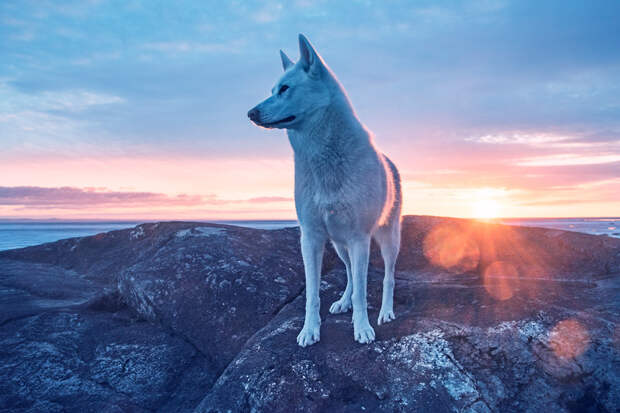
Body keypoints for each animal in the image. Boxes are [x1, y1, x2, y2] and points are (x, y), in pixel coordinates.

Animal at [247, 34, 402, 344]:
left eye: (285, 88)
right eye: (272, 90)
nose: (250, 113)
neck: (324, 159)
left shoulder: (359, 239)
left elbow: (363, 292)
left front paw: (362, 328)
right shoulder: (311, 238)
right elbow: (313, 294)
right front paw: (310, 330)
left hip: (387, 239)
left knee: (388, 277)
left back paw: (386, 311)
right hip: (340, 245)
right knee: (350, 274)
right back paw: (343, 301)